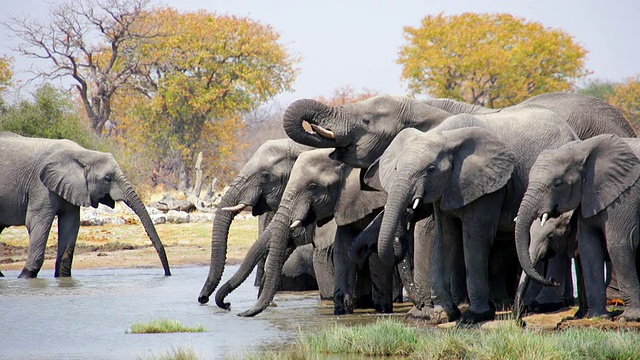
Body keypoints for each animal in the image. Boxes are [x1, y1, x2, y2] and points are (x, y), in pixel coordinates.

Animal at [0, 132, 170, 278]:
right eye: (107, 179)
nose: (168, 273)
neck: (83, 153)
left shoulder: (71, 187)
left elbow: (71, 224)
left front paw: (63, 277)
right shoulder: (40, 186)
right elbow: (37, 222)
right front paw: (25, 276)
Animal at [360, 109, 580, 324]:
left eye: (430, 170)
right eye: (396, 168)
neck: (444, 135)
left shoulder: (489, 187)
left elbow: (475, 238)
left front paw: (474, 316)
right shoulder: (449, 188)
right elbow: (445, 238)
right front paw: (442, 314)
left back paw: (543, 305)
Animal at [516, 134, 640, 320]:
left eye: (557, 183)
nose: (553, 281)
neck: (581, 149)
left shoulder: (624, 195)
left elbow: (619, 244)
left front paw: (629, 317)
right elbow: (589, 248)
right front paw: (596, 317)